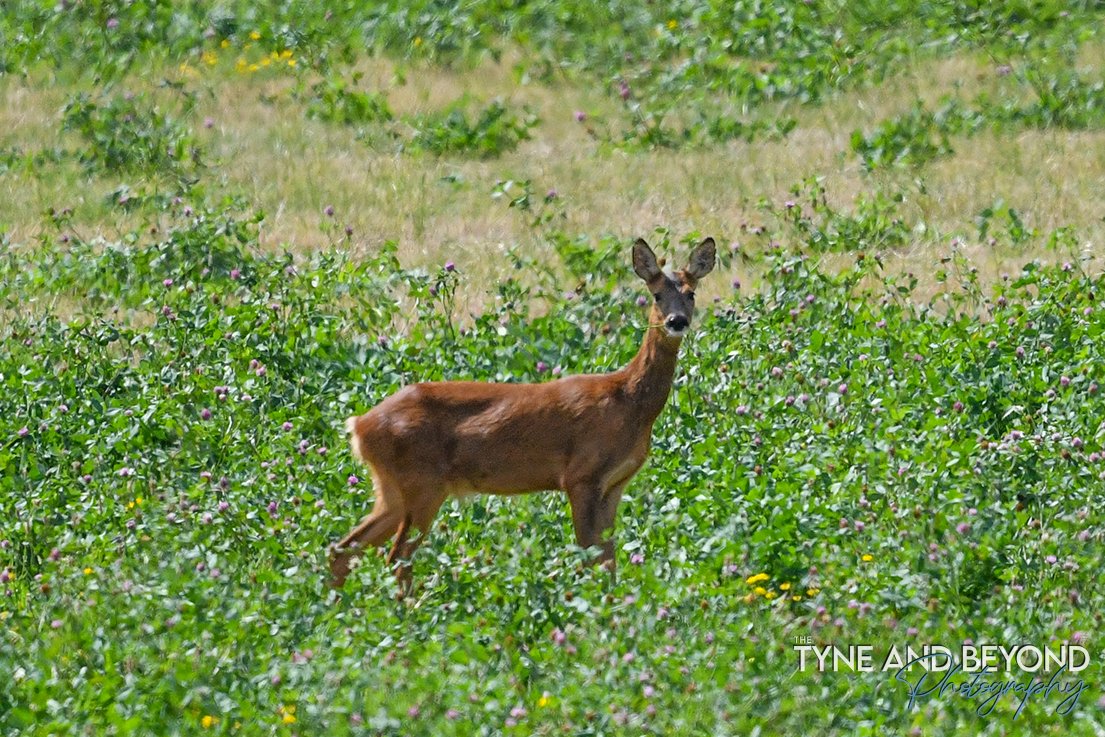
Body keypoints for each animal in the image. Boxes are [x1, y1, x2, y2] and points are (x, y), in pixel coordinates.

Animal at [328, 237, 716, 593]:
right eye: (657, 295)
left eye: (692, 294)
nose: (677, 321)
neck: (628, 402)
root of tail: (358, 426)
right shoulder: (580, 476)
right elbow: (589, 559)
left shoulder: (614, 484)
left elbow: (608, 563)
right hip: (422, 483)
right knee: (396, 559)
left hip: (392, 489)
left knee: (343, 549)